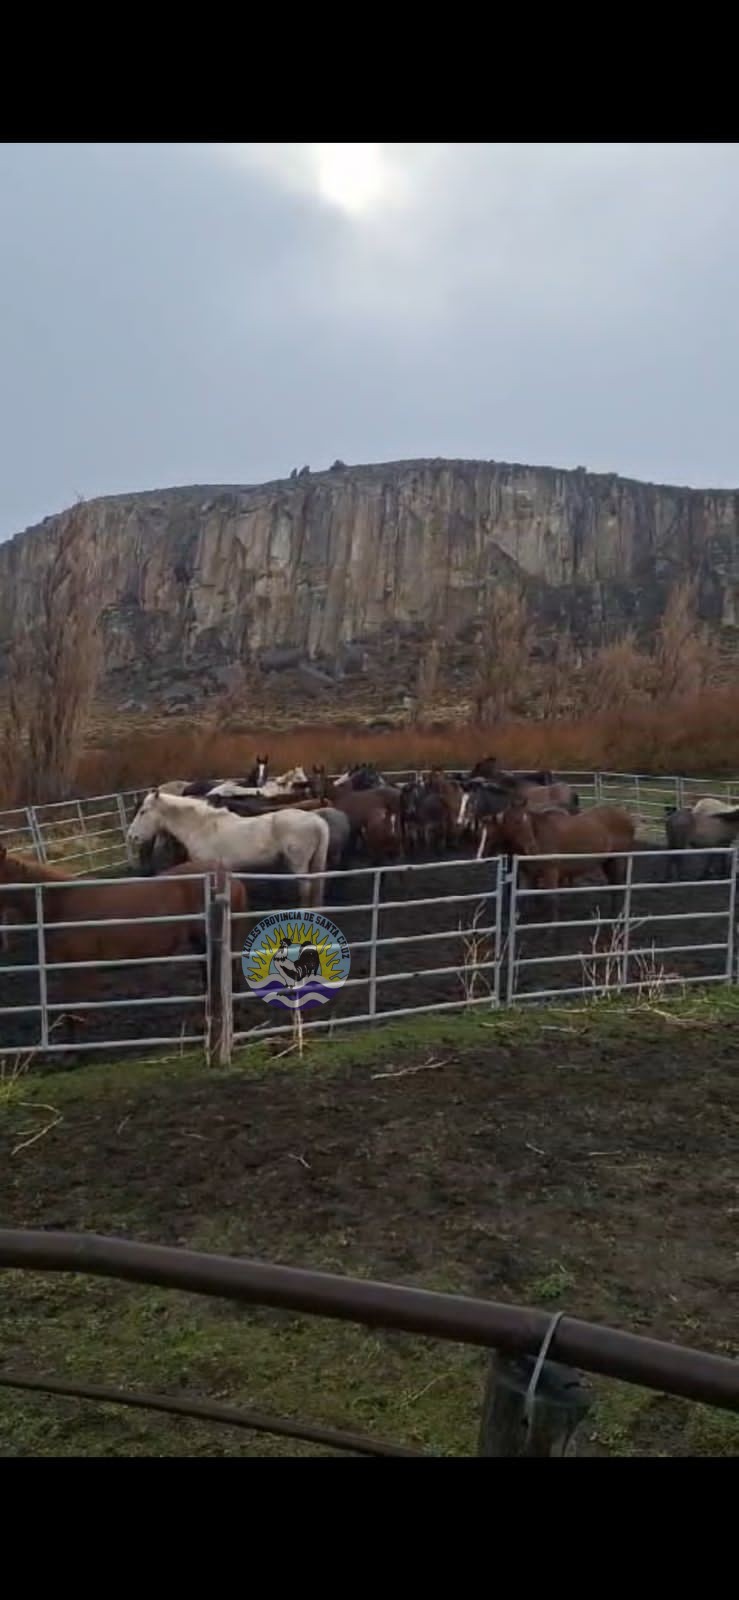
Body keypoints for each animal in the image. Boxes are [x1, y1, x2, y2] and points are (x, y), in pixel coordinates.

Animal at [127, 784, 329, 902]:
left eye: (143, 811)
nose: (132, 836)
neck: (201, 826)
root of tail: (317, 820)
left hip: (299, 865)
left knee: (306, 890)